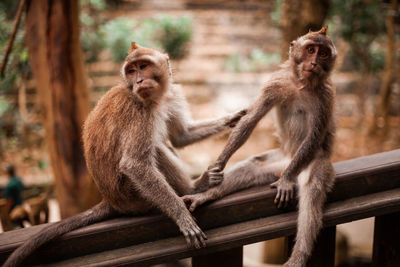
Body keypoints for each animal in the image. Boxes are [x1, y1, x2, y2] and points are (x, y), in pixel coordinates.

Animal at [3, 43, 247, 266]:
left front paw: (233, 118)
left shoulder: (172, 95)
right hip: (135, 198)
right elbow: (134, 164)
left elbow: (182, 136)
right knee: (156, 149)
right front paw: (182, 216)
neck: (154, 98)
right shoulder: (137, 110)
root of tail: (111, 200)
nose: (138, 81)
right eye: (131, 71)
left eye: (143, 66)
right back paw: (193, 188)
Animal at [183, 27, 336, 267]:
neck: (301, 84)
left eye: (323, 54)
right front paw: (216, 167)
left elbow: (314, 136)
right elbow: (251, 119)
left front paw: (286, 180)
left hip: (310, 162)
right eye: (311, 49)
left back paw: (298, 255)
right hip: (280, 160)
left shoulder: (325, 96)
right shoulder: (275, 84)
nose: (313, 62)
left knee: (312, 190)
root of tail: (288, 160)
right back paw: (206, 196)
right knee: (253, 166)